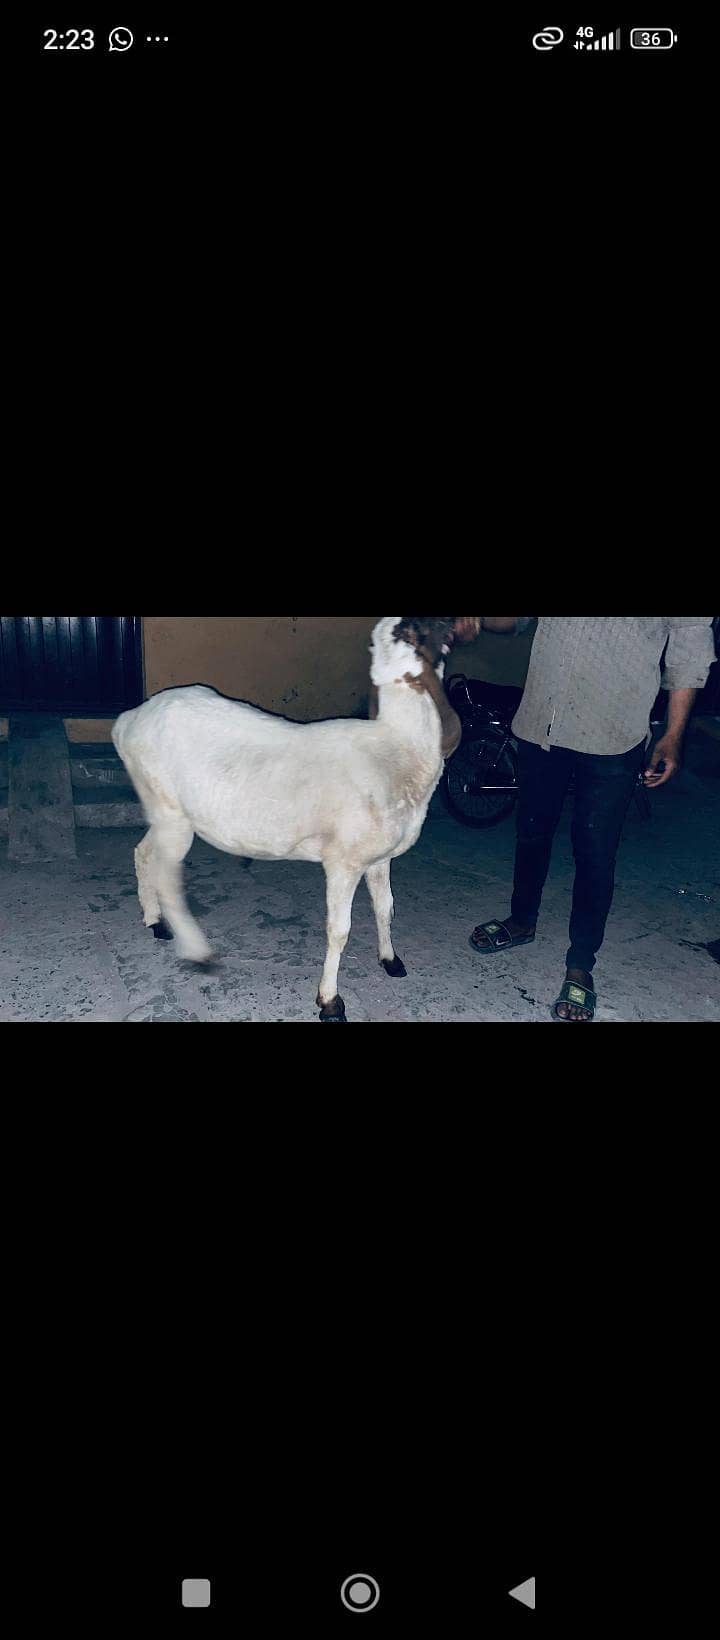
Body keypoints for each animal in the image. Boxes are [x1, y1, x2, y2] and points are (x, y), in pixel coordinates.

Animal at [111, 616, 462, 1022]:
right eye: (416, 629)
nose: (454, 625)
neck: (396, 747)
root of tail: (127, 721)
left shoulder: (380, 857)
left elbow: (385, 906)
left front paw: (390, 960)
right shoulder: (343, 861)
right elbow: (339, 929)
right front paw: (329, 1001)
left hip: (162, 811)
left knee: (143, 853)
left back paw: (155, 922)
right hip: (171, 813)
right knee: (167, 877)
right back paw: (198, 952)